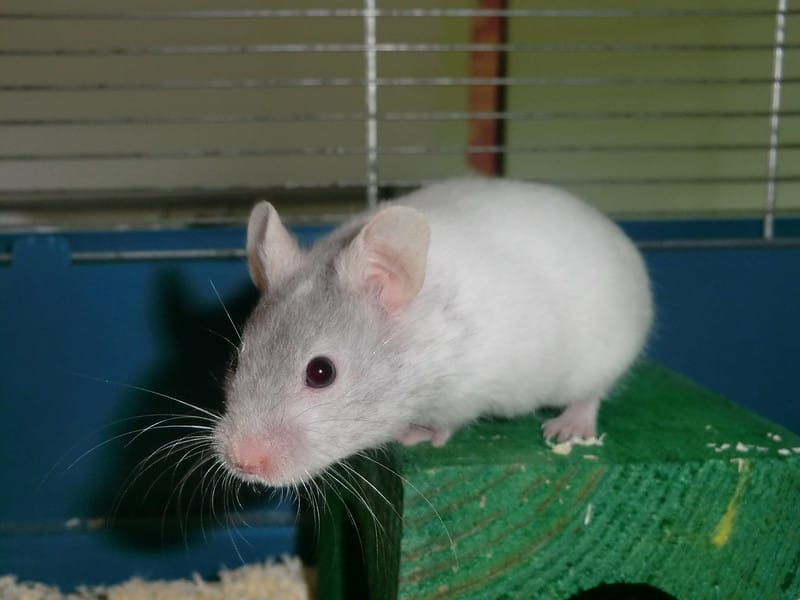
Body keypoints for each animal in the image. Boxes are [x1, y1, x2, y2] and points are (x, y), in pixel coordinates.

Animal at [214, 178, 653, 487]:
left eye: (321, 372)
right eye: (234, 361)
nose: (241, 463)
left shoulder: (467, 392)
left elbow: (446, 422)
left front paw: (415, 436)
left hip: (601, 356)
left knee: (592, 394)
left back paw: (568, 427)